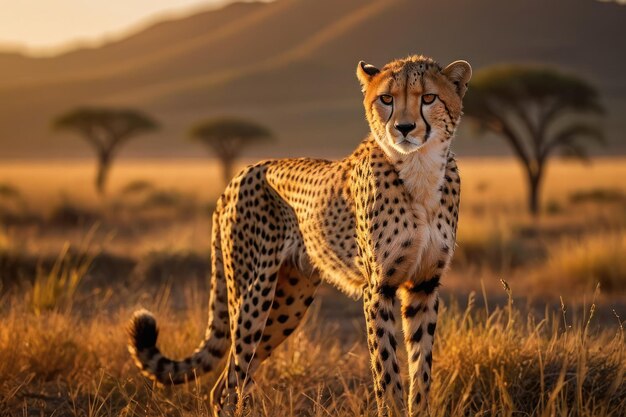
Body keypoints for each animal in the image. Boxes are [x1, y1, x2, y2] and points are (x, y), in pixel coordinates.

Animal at [128, 55, 468, 416]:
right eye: (386, 99)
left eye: (428, 98)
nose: (403, 128)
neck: (420, 168)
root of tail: (239, 174)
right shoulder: (379, 288)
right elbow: (387, 372)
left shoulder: (424, 286)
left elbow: (421, 372)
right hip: (253, 295)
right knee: (232, 382)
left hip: (289, 300)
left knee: (228, 382)